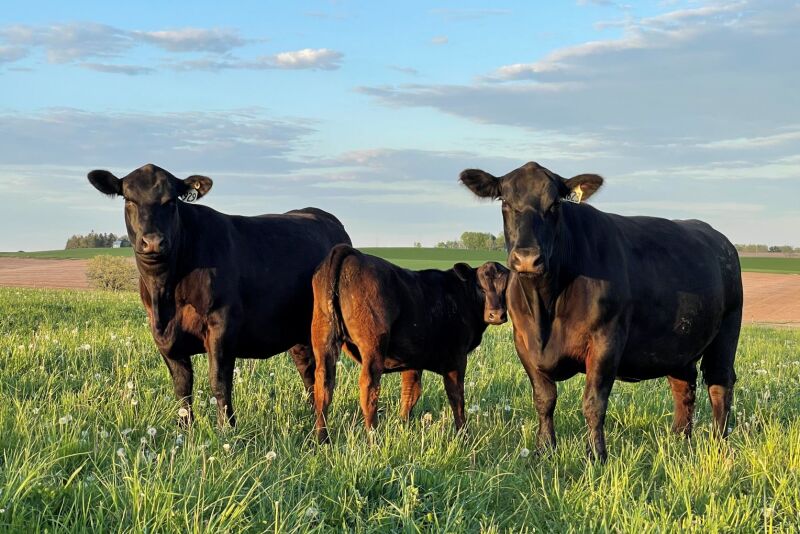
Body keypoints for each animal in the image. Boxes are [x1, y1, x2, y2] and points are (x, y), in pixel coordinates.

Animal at [87, 164, 351, 427]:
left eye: (171, 201)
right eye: (129, 200)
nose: (153, 242)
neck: (165, 293)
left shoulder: (222, 323)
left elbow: (218, 381)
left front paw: (227, 427)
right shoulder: (162, 334)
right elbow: (182, 385)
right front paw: (185, 428)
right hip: (298, 333)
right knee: (308, 372)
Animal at [310, 244, 510, 443]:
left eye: (506, 288)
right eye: (480, 288)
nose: (496, 315)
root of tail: (353, 253)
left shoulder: (413, 359)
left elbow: (411, 392)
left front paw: (403, 427)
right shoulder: (456, 357)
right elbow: (456, 397)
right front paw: (463, 436)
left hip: (323, 338)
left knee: (323, 383)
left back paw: (322, 438)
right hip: (373, 344)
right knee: (369, 386)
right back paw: (373, 438)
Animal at [460, 161, 742, 461]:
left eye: (555, 205)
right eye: (505, 202)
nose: (527, 258)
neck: (545, 308)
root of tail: (717, 237)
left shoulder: (605, 340)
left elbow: (593, 403)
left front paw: (596, 455)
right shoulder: (523, 344)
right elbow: (544, 399)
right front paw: (544, 450)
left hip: (727, 330)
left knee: (719, 384)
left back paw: (718, 444)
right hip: (678, 344)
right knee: (684, 387)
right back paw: (679, 440)